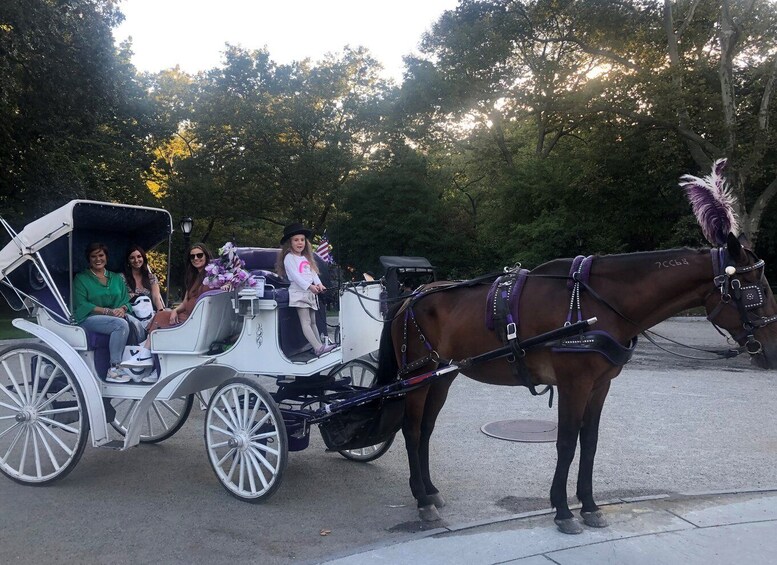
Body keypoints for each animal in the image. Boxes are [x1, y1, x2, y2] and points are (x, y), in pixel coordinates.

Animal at [374, 234, 776, 532]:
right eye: (754, 289)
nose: (772, 352)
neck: (600, 304)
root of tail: (410, 297)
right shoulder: (573, 383)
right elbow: (566, 443)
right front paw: (563, 510)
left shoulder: (600, 385)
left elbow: (590, 442)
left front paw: (590, 505)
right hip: (416, 378)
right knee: (412, 430)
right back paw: (421, 499)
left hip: (442, 376)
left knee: (426, 431)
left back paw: (430, 490)